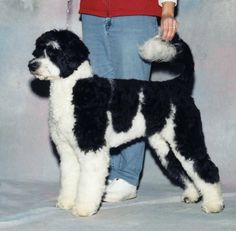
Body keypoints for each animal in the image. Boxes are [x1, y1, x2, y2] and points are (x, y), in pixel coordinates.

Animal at [28, 29, 224, 216]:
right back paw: (192, 194)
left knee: (206, 168)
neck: (74, 89)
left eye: (54, 51)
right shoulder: (67, 149)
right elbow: (70, 178)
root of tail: (177, 85)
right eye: (38, 49)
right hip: (164, 145)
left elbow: (89, 183)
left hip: (186, 138)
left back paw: (214, 205)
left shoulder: (92, 148)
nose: (32, 65)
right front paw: (67, 202)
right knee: (181, 168)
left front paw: (83, 209)